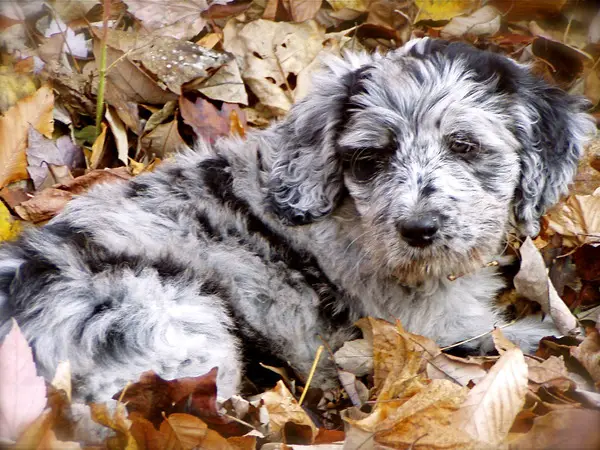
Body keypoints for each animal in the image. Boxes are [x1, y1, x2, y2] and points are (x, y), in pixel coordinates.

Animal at [0, 37, 596, 398]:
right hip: (178, 328)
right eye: (371, 158)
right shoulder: (434, 330)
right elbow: (526, 338)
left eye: (464, 145)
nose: (418, 231)